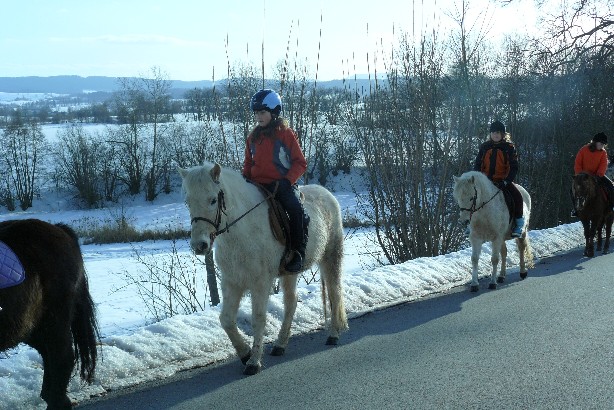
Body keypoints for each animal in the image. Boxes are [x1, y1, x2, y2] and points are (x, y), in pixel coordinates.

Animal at [0, 221, 100, 410]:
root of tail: (59, 229)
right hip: (32, 327)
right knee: (48, 354)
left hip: (55, 319)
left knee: (62, 357)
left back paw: (57, 401)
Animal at [180, 163, 348, 374]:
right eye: (188, 202)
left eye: (212, 200)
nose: (199, 245)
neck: (242, 231)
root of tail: (326, 193)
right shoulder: (232, 282)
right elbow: (226, 319)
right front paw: (244, 353)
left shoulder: (260, 282)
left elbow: (258, 318)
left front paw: (253, 362)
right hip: (290, 273)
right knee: (291, 303)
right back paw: (280, 345)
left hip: (331, 257)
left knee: (335, 293)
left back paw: (333, 335)